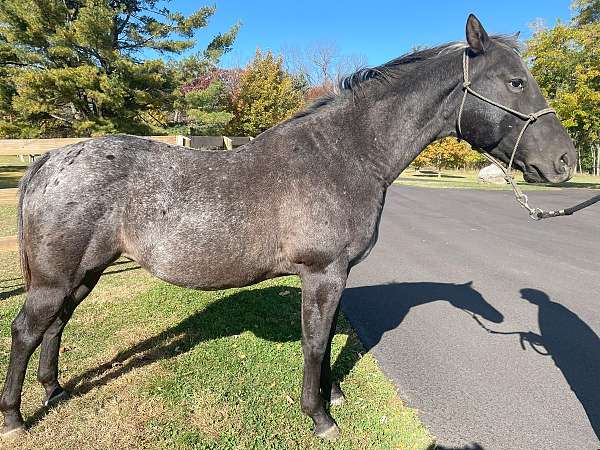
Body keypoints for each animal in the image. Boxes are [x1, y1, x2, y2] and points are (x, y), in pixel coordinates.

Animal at [0, 14, 576, 440]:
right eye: (516, 82)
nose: (565, 161)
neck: (345, 155)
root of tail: (49, 160)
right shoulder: (322, 273)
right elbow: (316, 341)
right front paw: (321, 417)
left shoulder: (336, 275)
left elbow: (329, 331)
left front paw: (333, 393)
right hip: (56, 278)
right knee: (27, 329)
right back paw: (16, 418)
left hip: (84, 273)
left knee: (56, 326)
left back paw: (54, 391)